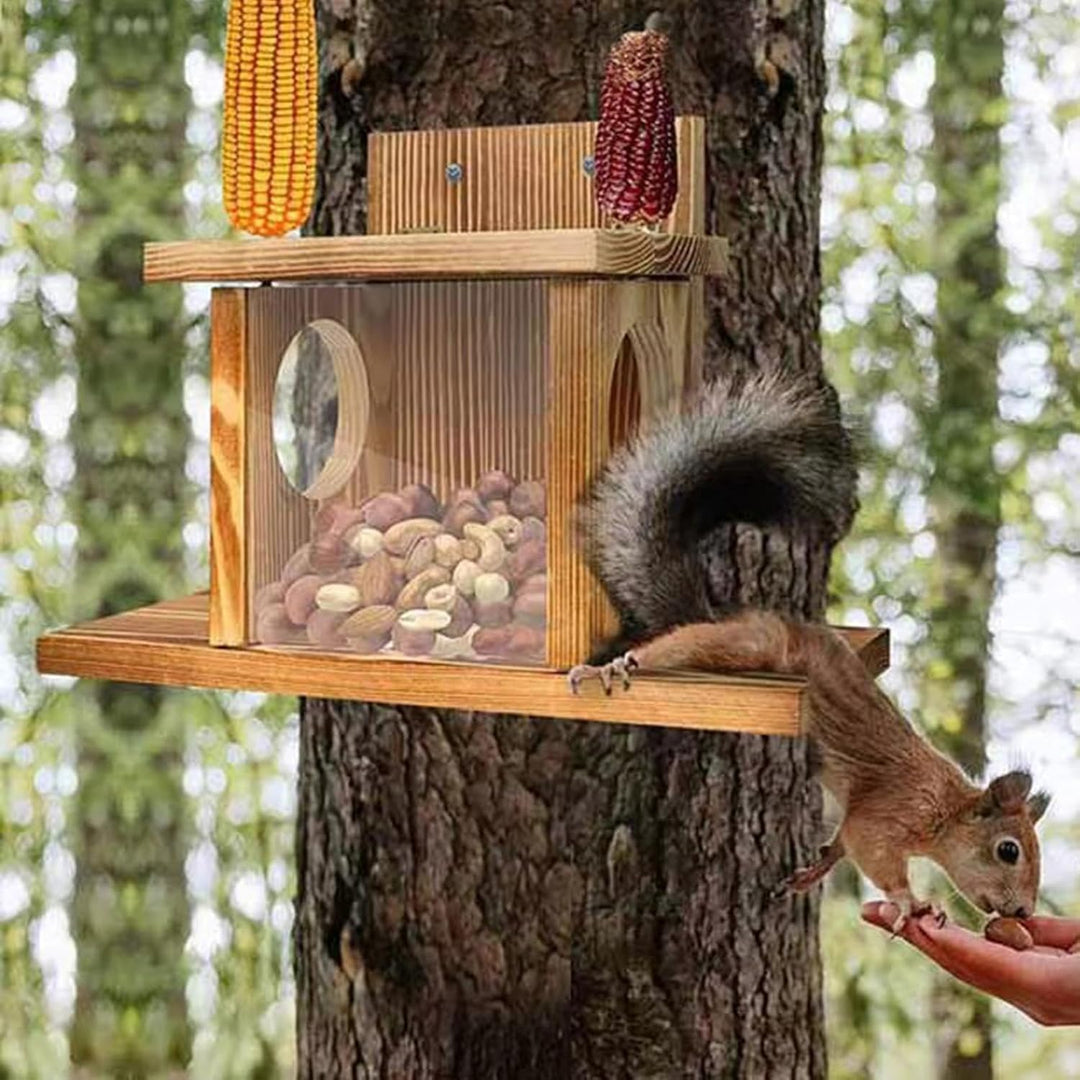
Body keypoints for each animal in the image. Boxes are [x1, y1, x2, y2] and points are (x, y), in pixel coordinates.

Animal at [569, 368, 1049, 930]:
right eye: (1008, 850)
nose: (1023, 911)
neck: (945, 807)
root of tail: (727, 615)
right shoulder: (892, 811)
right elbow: (869, 846)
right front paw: (911, 901)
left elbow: (841, 842)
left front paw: (813, 872)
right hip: (753, 645)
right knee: (677, 644)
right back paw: (613, 667)